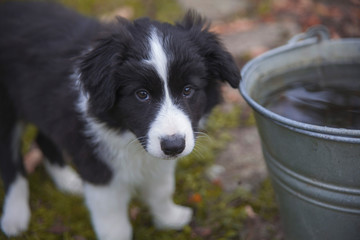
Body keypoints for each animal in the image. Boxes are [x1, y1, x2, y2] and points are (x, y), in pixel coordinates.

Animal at [1, 0, 240, 239]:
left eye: (188, 90)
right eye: (142, 94)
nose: (173, 146)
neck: (126, 133)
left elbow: (162, 189)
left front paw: (169, 218)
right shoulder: (98, 168)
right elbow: (113, 221)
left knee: (44, 139)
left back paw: (68, 182)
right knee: (11, 163)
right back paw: (15, 217)